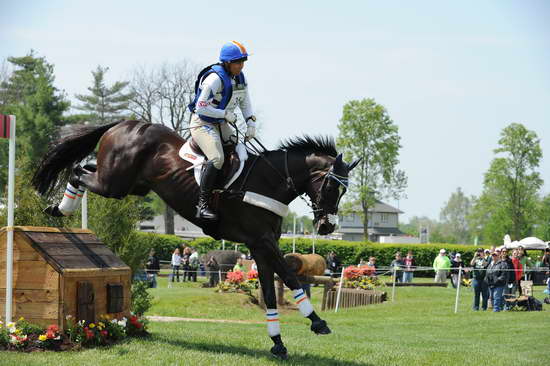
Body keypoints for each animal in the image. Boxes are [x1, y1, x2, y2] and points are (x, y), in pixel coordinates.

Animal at [32, 119, 360, 358]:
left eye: (343, 190)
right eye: (332, 186)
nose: (327, 226)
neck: (269, 182)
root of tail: (125, 123)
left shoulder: (261, 245)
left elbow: (269, 291)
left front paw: (277, 342)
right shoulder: (262, 242)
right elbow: (291, 278)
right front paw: (318, 322)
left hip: (129, 184)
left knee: (84, 168)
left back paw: (57, 208)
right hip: (114, 183)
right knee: (77, 171)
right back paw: (59, 209)